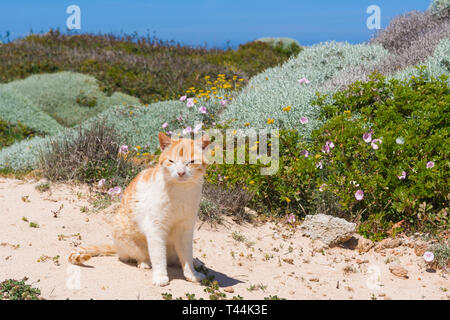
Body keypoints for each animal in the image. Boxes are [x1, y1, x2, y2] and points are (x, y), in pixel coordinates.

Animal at [69, 131, 213, 286]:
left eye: (191, 162)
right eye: (171, 161)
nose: (180, 173)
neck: (181, 193)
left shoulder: (185, 230)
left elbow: (186, 256)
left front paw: (192, 274)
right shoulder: (155, 229)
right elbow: (158, 256)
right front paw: (160, 276)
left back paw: (196, 263)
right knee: (138, 256)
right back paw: (144, 262)